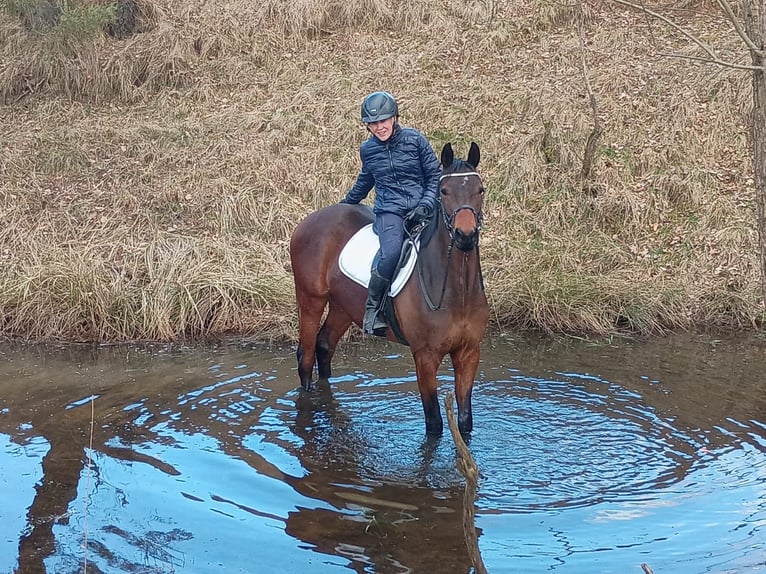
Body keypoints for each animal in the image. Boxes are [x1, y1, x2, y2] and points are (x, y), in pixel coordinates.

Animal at [289, 142, 489, 435]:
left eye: (480, 189)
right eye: (444, 191)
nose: (465, 236)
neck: (457, 291)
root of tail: (309, 221)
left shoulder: (469, 353)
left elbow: (464, 421)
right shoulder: (425, 357)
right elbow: (434, 423)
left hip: (343, 307)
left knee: (324, 346)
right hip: (311, 300)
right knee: (305, 356)